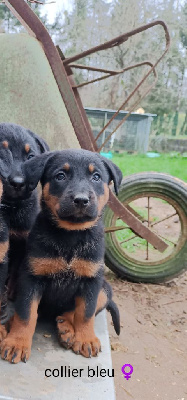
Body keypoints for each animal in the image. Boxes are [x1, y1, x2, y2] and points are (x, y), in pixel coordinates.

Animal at [0, 122, 49, 304]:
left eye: (31, 157)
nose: (18, 183)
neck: (12, 208)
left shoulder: (23, 241)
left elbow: (16, 270)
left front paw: (13, 290)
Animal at [0, 149, 122, 362]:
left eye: (96, 177)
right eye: (60, 176)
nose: (81, 200)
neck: (70, 235)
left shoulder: (91, 280)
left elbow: (86, 313)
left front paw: (86, 338)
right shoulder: (32, 278)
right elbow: (26, 313)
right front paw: (17, 342)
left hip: (105, 289)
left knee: (72, 311)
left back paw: (67, 328)